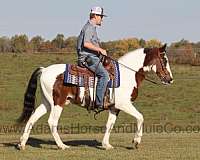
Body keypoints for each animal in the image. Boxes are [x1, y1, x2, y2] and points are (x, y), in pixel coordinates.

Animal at [17, 43, 173, 150]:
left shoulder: (114, 107)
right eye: (164, 60)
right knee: (52, 122)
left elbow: (110, 124)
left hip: (47, 102)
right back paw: (62, 145)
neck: (126, 75)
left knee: (32, 118)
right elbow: (140, 117)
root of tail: (44, 70)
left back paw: (22, 144)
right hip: (58, 103)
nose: (170, 79)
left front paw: (106, 145)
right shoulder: (124, 104)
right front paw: (136, 141)